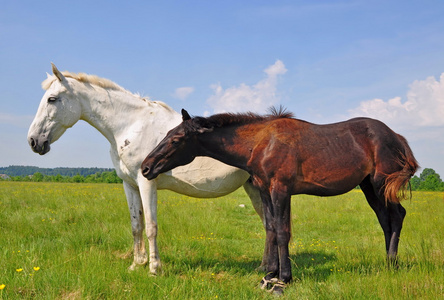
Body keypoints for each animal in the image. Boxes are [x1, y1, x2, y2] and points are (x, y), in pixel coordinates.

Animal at [27, 63, 266, 274]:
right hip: (254, 188)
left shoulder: (146, 182)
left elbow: (151, 226)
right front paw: (136, 264)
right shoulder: (130, 184)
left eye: (52, 99)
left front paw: (154, 268)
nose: (33, 141)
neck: (131, 126)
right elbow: (137, 225)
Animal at [140, 107, 418, 292]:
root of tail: (397, 137)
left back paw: (392, 263)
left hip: (381, 185)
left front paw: (283, 278)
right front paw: (269, 274)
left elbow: (283, 232)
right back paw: (388, 262)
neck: (261, 143)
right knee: (386, 220)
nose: (145, 168)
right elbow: (272, 228)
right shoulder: (265, 190)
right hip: (369, 187)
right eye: (167, 134)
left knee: (397, 216)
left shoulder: (280, 189)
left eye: (176, 139)